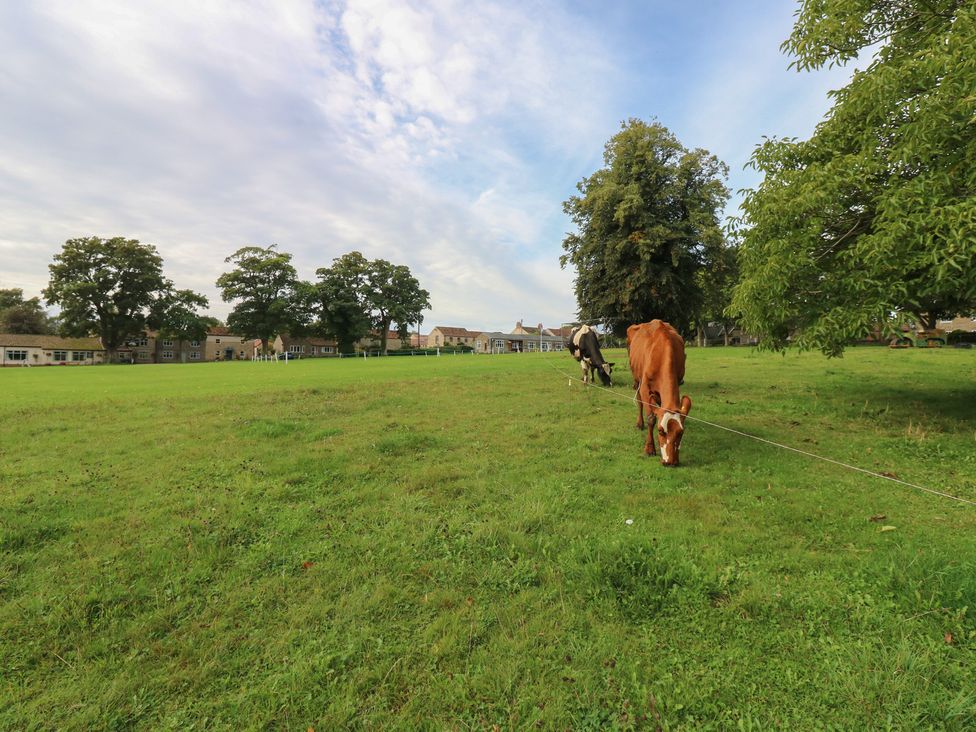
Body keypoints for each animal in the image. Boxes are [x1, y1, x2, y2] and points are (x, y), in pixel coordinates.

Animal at [627, 320, 692, 466]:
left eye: (681, 433)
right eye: (661, 431)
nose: (671, 461)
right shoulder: (645, 387)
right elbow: (651, 418)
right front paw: (649, 448)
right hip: (637, 379)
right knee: (639, 402)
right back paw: (640, 423)